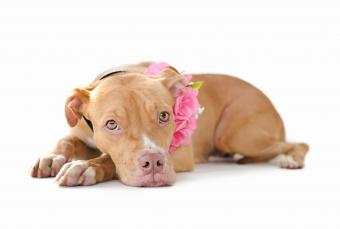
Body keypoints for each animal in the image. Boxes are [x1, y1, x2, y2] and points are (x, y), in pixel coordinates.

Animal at [30, 62, 310, 186]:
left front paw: (86, 167)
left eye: (164, 116)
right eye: (111, 124)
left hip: (235, 135)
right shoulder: (81, 133)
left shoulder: (181, 153)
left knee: (297, 144)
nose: (154, 162)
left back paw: (291, 159)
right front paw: (53, 158)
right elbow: (66, 140)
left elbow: (109, 159)